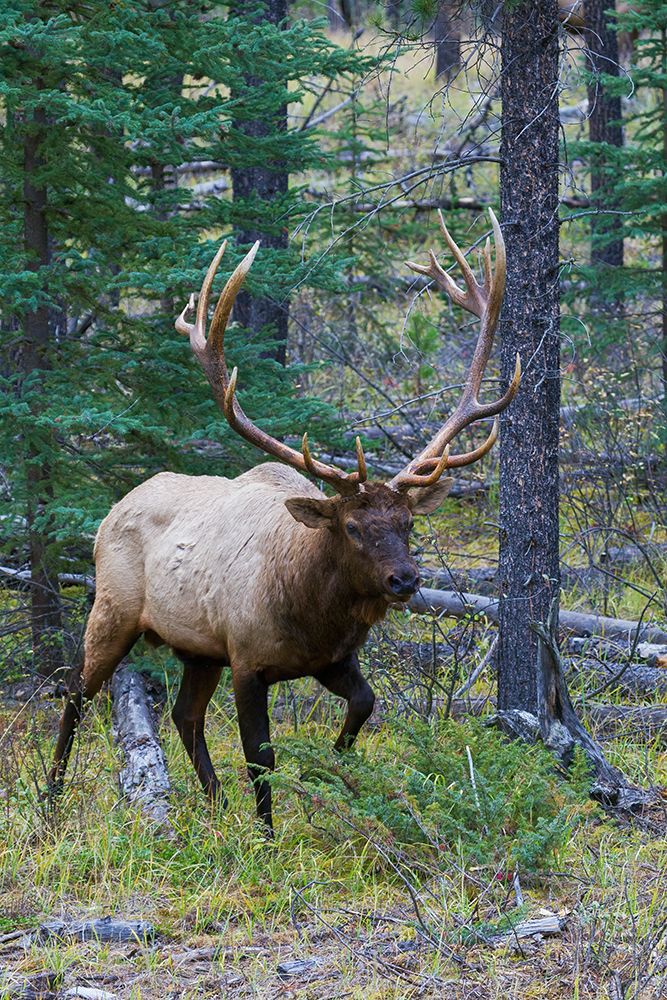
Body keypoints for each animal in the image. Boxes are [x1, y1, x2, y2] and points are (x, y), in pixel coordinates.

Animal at [48, 209, 520, 833]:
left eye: (408, 524)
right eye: (351, 527)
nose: (405, 580)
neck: (311, 610)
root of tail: (109, 514)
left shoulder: (331, 658)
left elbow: (365, 705)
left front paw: (328, 772)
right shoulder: (247, 658)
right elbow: (261, 757)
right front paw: (268, 835)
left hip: (198, 647)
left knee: (182, 714)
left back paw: (215, 802)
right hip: (114, 609)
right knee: (76, 693)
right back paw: (50, 796)